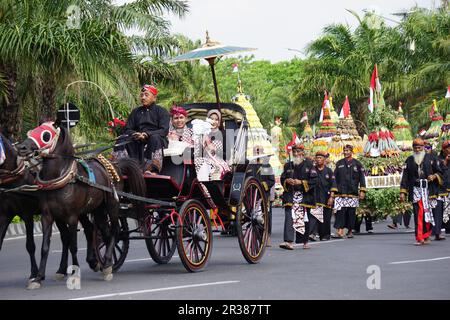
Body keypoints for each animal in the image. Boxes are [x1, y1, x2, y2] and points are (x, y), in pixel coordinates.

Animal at [16, 121, 144, 288]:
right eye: (31, 131)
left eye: (46, 135)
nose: (21, 147)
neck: (61, 178)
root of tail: (115, 165)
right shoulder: (47, 216)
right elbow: (45, 247)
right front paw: (38, 278)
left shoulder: (71, 216)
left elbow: (73, 245)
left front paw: (74, 273)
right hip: (98, 209)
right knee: (103, 232)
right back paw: (106, 264)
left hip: (112, 205)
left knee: (114, 231)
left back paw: (106, 264)